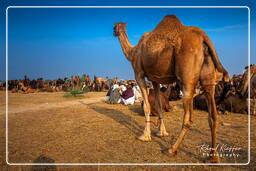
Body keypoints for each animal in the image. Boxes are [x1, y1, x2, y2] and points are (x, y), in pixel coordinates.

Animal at [114, 14, 230, 162]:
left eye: (115, 26)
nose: (114, 31)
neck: (133, 52)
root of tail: (204, 36)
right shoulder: (155, 79)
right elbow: (158, 106)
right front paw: (162, 132)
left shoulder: (139, 73)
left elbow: (147, 106)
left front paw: (145, 136)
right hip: (209, 78)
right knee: (212, 115)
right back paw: (213, 157)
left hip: (187, 78)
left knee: (188, 118)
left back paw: (171, 149)